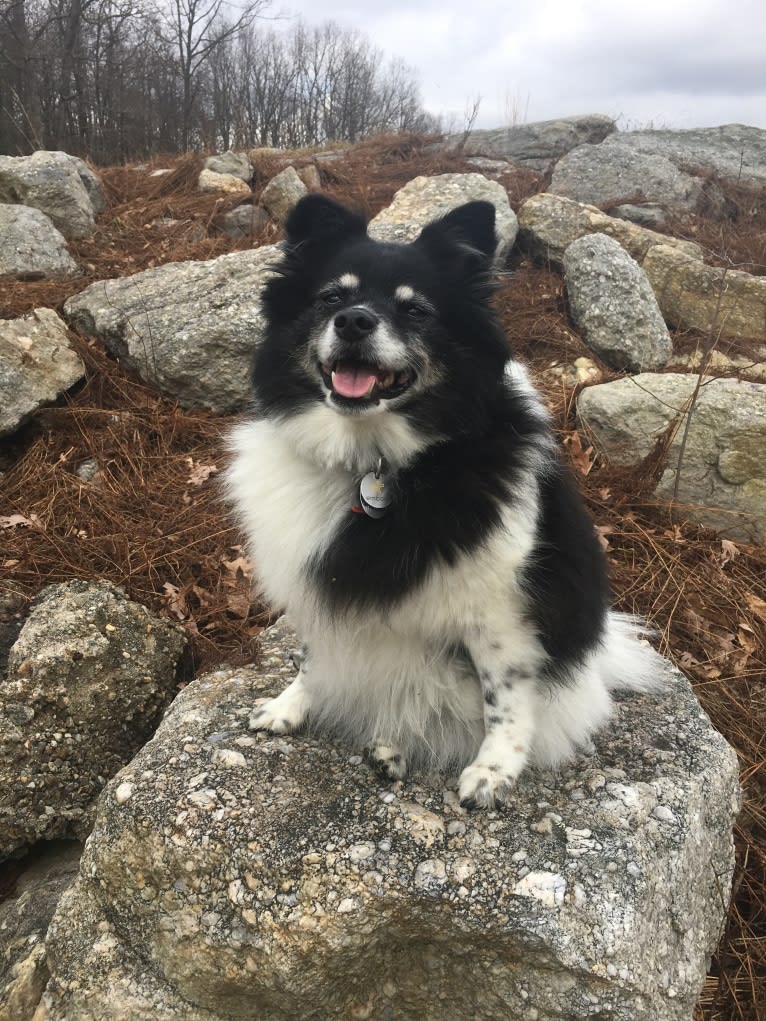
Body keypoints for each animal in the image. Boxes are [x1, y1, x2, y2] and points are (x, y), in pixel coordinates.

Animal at [226, 195, 661, 808]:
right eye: (332, 297)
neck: (377, 462)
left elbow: (505, 698)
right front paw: (291, 706)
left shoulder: (500, 611)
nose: (354, 321)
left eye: (415, 310)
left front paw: (494, 770)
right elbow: (313, 657)